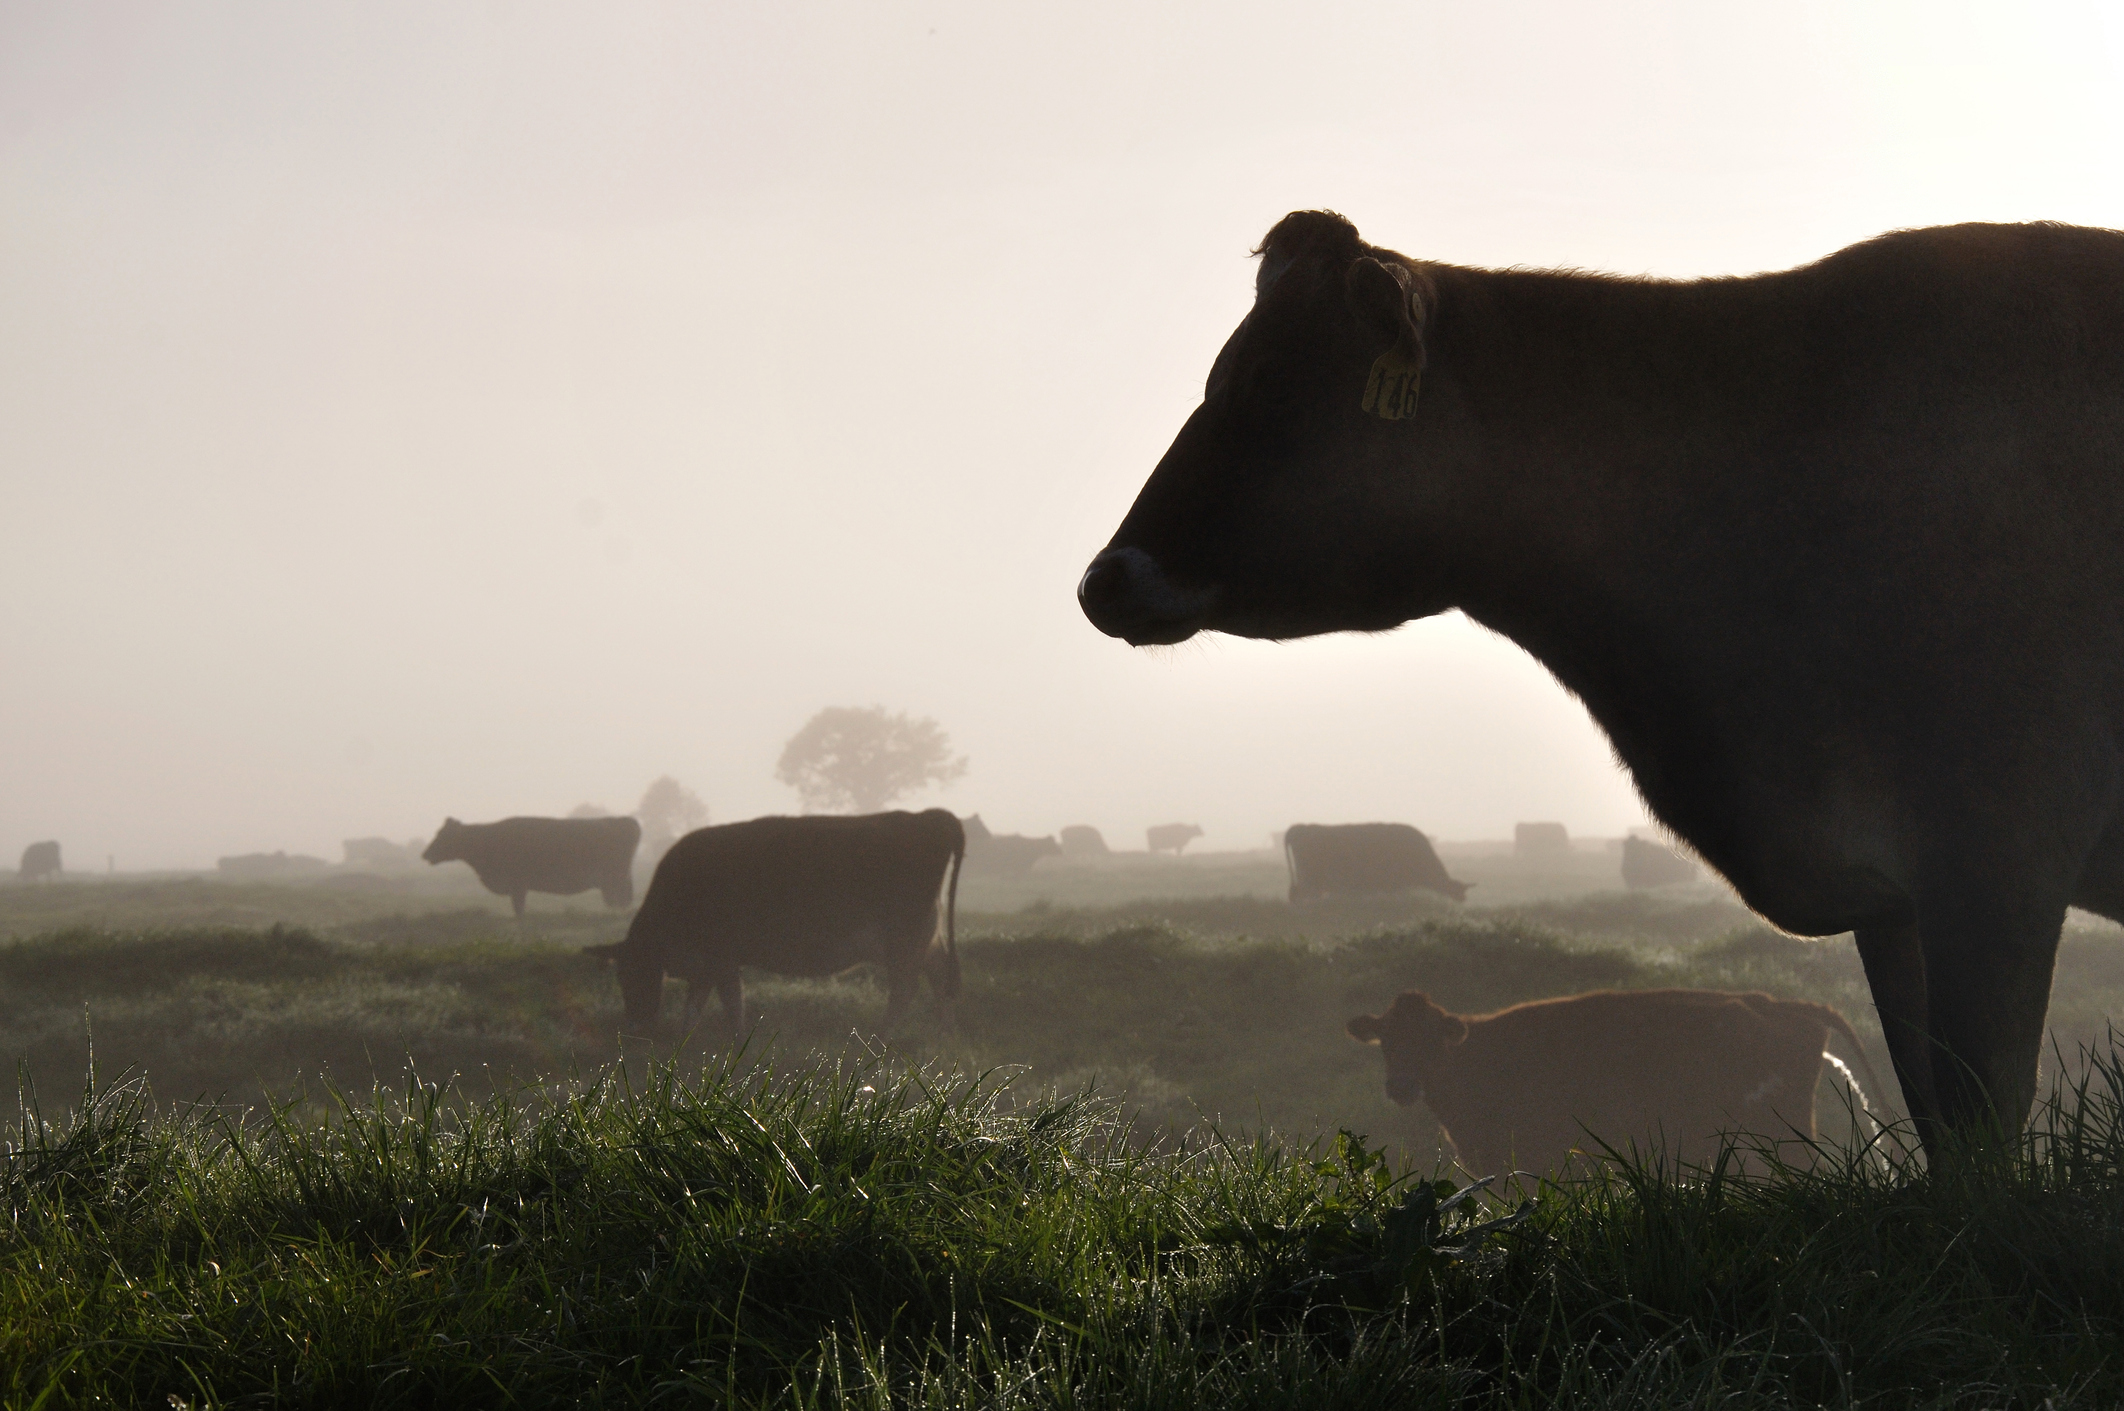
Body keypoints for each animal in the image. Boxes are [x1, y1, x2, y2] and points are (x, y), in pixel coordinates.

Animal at [422, 811, 637, 922]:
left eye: (443, 835)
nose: (425, 854)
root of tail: (622, 819)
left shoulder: (518, 885)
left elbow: (518, 908)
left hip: (615, 879)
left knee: (619, 902)